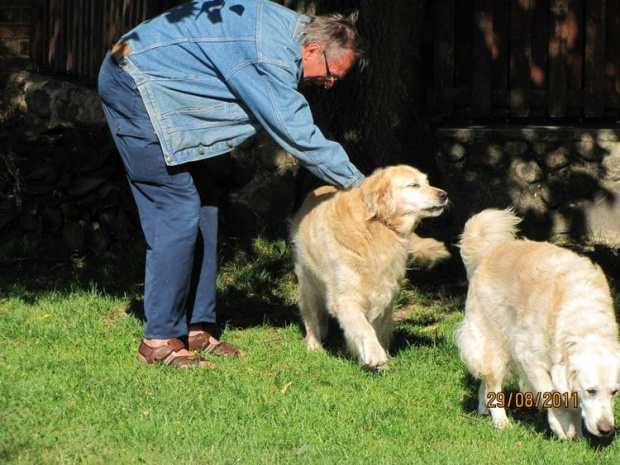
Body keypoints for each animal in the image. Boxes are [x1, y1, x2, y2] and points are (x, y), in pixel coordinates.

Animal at [290, 165, 450, 368]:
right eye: (413, 185)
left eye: (427, 182)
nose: (444, 194)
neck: (377, 228)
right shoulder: (346, 298)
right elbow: (364, 328)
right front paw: (375, 355)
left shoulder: (385, 293)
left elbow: (376, 328)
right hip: (307, 281)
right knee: (310, 314)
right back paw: (314, 345)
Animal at [456, 208, 620, 440]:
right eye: (591, 391)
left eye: (615, 392)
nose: (606, 430)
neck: (585, 325)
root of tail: (492, 251)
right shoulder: (529, 358)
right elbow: (551, 393)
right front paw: (561, 426)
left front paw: (577, 434)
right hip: (493, 342)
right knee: (493, 384)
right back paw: (501, 422)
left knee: (484, 380)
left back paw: (483, 409)